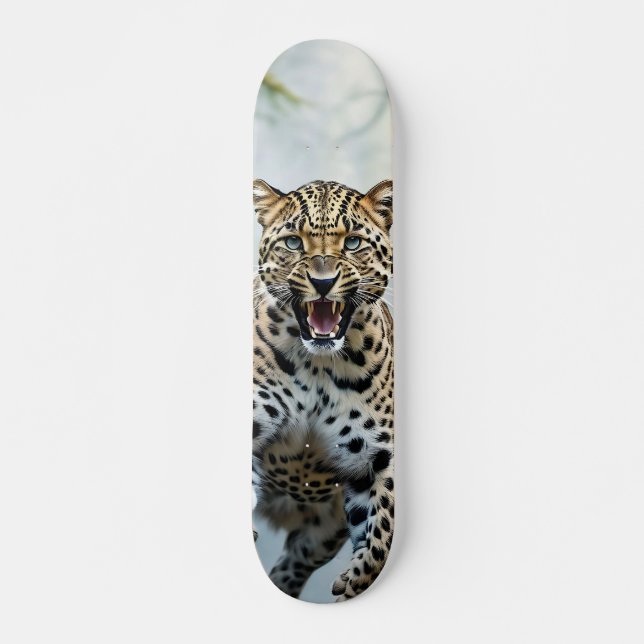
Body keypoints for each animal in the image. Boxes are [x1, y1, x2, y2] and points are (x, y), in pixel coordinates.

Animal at [252, 178, 394, 602]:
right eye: (293, 243)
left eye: (353, 243)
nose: (323, 282)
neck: (318, 363)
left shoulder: (373, 458)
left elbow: (383, 528)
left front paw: (357, 578)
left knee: (294, 567)